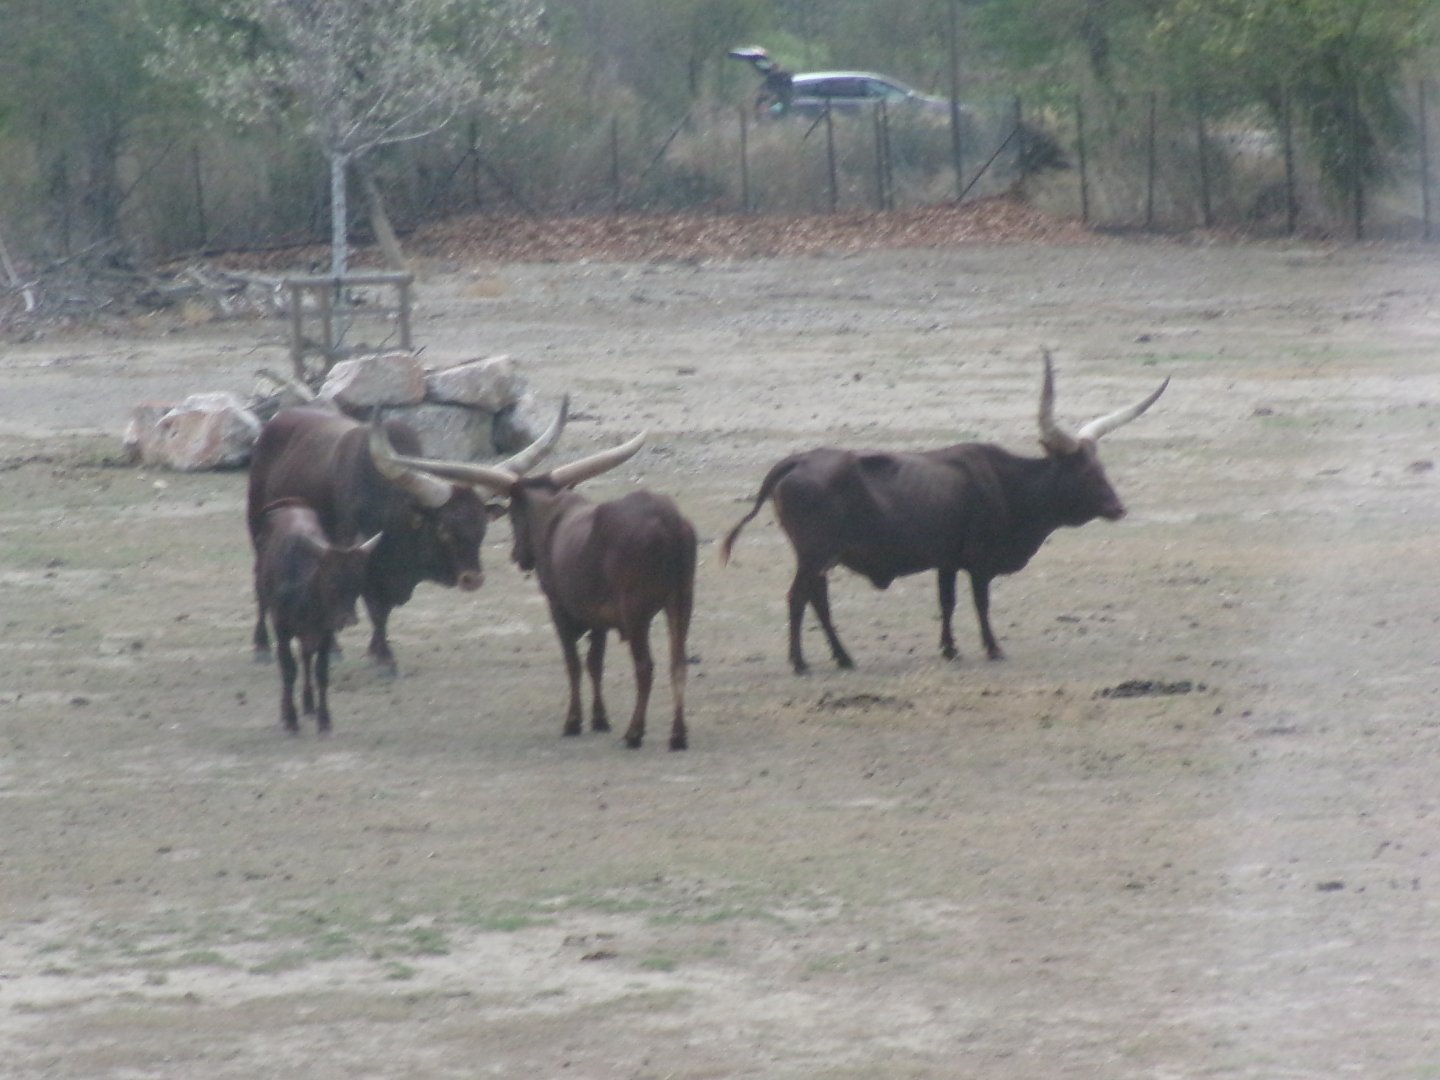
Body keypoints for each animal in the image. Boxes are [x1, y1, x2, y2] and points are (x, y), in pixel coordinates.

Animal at [247, 398, 567, 674]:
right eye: (444, 531)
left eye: (481, 529)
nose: (473, 579)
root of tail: (279, 418)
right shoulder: (359, 558)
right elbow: (374, 608)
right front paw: (384, 659)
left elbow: (383, 612)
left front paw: (377, 651)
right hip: (258, 530)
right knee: (261, 585)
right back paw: (262, 646)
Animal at [253, 498, 381, 734]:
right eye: (330, 581)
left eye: (358, 582)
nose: (347, 619)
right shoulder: (282, 629)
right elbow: (288, 670)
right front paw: (290, 718)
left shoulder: (325, 632)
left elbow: (321, 672)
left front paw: (324, 719)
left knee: (306, 659)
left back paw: (309, 704)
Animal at [369, 424, 697, 750]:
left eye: (514, 516)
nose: (518, 556)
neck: (555, 515)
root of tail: (667, 521)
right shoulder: (597, 617)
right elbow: (594, 664)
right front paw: (599, 719)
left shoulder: (560, 609)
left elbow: (573, 664)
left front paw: (573, 722)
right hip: (681, 603)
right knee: (678, 663)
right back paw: (678, 735)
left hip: (636, 613)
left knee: (645, 667)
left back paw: (634, 733)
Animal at [720, 352, 1168, 673]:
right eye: (1085, 472)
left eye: (1101, 468)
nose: (1118, 507)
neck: (1007, 483)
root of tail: (797, 461)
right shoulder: (979, 562)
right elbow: (980, 603)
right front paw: (992, 648)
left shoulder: (947, 561)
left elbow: (948, 602)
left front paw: (950, 649)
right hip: (814, 554)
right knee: (799, 597)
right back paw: (800, 662)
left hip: (819, 558)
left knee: (816, 599)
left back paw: (843, 658)